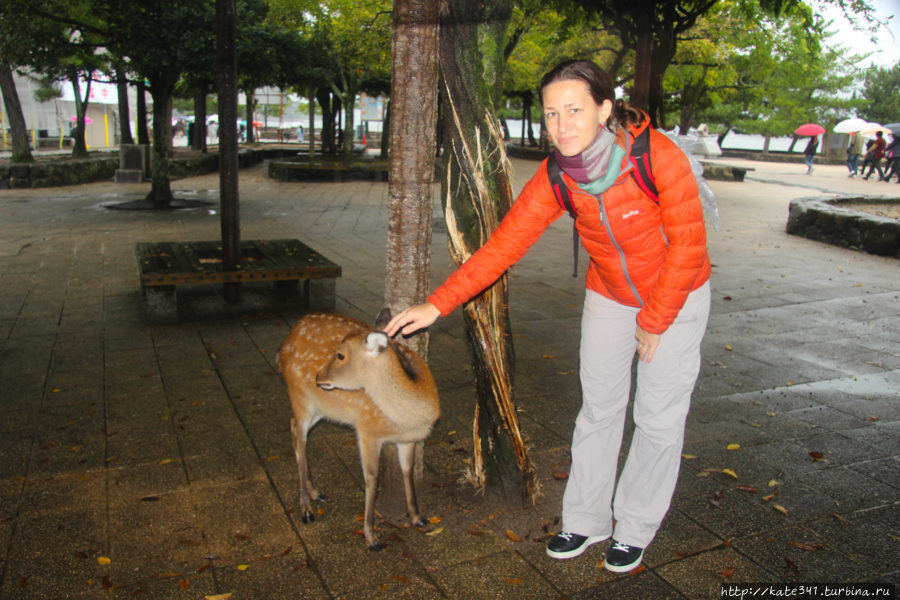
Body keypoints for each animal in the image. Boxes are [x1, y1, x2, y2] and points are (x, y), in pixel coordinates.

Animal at [276, 310, 442, 548]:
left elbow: (407, 470)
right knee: (299, 437)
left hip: (320, 407)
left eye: (340, 355)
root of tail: (283, 346)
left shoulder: (408, 439)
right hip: (299, 396)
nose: (318, 376)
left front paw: (417, 516)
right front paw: (371, 536)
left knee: (294, 429)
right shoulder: (367, 430)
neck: (408, 420)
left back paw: (316, 493)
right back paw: (306, 509)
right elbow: (372, 478)